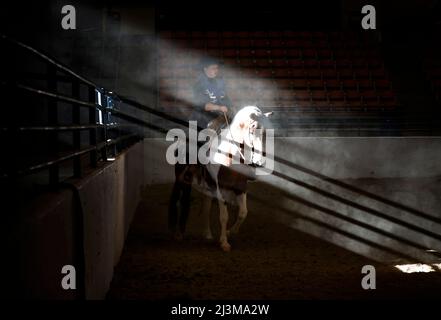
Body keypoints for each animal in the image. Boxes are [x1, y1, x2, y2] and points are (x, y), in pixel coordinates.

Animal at [168, 106, 272, 251]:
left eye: (266, 133)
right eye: (252, 129)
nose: (259, 162)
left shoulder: (240, 187)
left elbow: (243, 213)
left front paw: (230, 232)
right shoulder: (220, 188)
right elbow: (224, 216)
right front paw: (224, 242)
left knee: (206, 209)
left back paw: (207, 234)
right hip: (182, 179)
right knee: (180, 200)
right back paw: (177, 234)